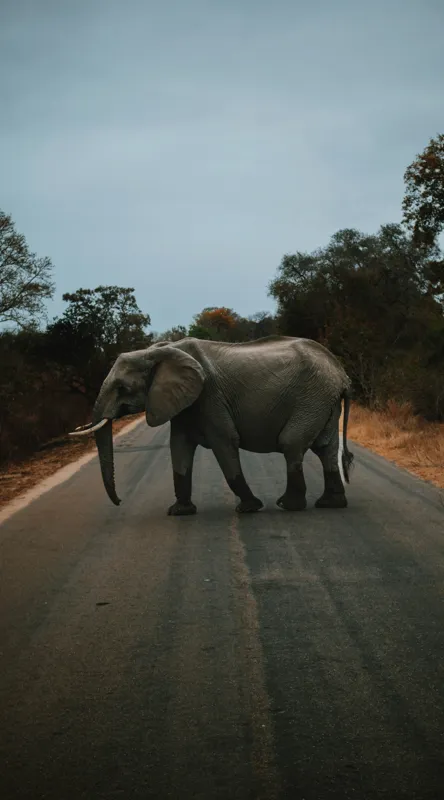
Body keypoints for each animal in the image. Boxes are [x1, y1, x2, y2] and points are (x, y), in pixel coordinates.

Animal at [70, 335, 354, 515]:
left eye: (122, 388)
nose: (119, 502)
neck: (157, 350)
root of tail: (342, 373)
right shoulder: (183, 403)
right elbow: (179, 448)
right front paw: (179, 512)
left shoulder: (209, 397)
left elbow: (224, 442)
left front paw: (249, 508)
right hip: (322, 400)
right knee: (326, 448)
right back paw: (330, 504)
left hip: (312, 396)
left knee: (291, 443)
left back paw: (289, 505)